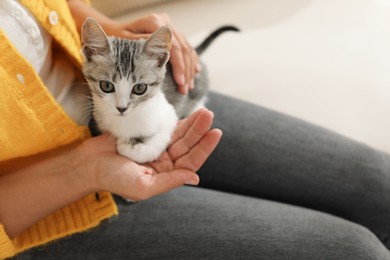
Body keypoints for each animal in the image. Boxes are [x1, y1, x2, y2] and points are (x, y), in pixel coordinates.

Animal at [81, 17, 238, 162]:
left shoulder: (168, 114)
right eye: (106, 86)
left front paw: (127, 147)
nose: (121, 108)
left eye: (139, 88)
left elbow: (154, 144)